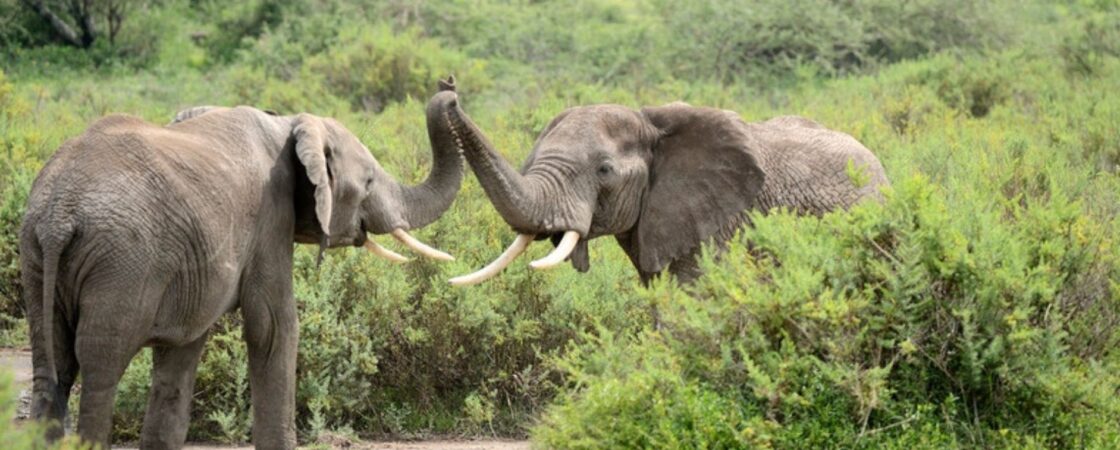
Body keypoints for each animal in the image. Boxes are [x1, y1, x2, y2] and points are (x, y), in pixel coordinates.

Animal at [20, 77, 468, 445]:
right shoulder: (271, 216)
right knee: (100, 369)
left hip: (38, 257)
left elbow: (181, 354)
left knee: (52, 369)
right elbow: (273, 327)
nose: (449, 86)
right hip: (121, 262)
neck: (288, 124)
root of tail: (60, 214)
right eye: (370, 181)